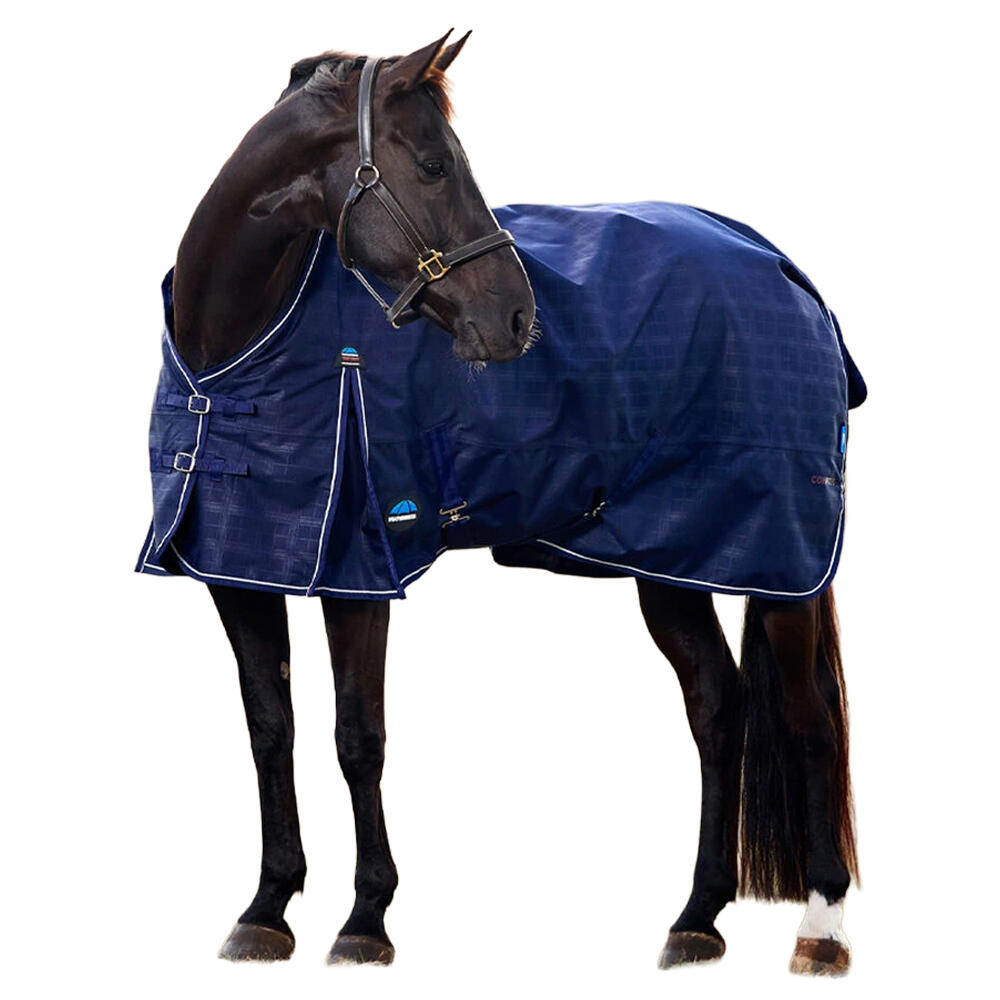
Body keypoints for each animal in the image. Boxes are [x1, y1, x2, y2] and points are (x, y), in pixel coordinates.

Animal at [139, 32, 860, 976]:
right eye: (435, 165)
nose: (517, 320)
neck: (236, 354)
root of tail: (789, 275)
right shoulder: (240, 568)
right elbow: (272, 729)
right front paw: (266, 910)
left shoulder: (360, 572)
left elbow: (357, 737)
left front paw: (364, 920)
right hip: (673, 558)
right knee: (717, 706)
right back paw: (697, 919)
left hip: (780, 559)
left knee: (810, 719)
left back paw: (822, 928)